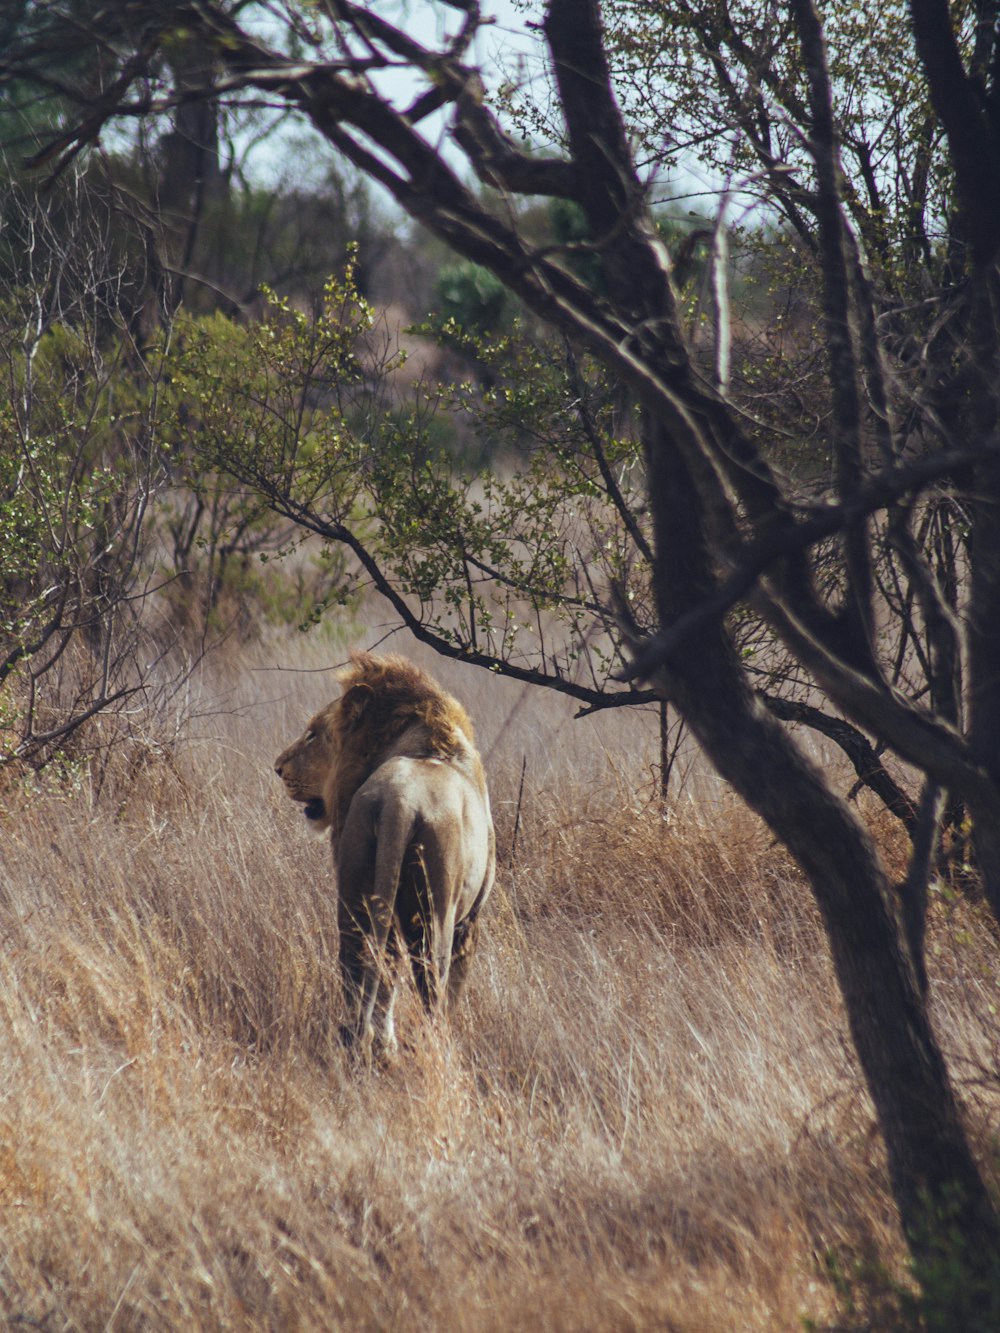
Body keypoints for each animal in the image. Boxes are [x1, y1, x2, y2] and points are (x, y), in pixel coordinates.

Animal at [274, 650, 498, 1055]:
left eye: (313, 733)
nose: (277, 768)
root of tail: (400, 803)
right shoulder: (470, 920)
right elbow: (455, 988)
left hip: (354, 895)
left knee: (361, 966)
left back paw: (368, 1042)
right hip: (435, 914)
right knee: (431, 988)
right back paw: (431, 1048)